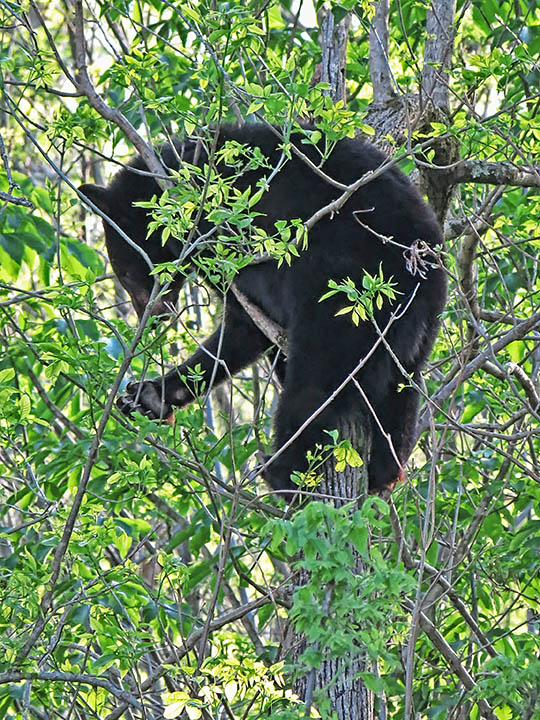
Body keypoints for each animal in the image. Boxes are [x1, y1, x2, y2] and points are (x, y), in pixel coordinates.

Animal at [79, 124, 442, 496]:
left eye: (127, 272)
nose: (151, 317)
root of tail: (416, 273)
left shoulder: (228, 240)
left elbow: (247, 318)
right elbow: (244, 331)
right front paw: (151, 396)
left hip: (346, 301)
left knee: (315, 385)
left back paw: (282, 471)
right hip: (413, 332)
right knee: (401, 387)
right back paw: (384, 469)